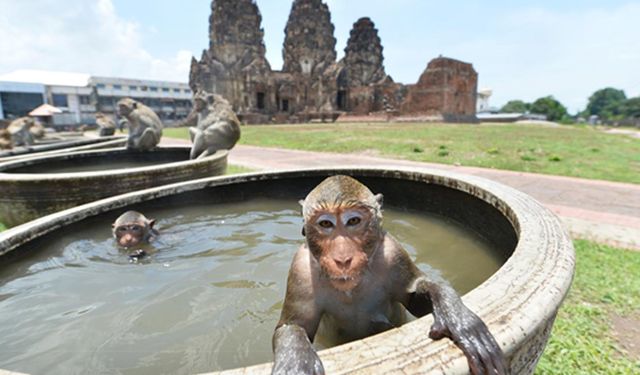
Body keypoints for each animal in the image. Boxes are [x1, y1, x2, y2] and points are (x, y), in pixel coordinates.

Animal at [272, 176, 508, 375]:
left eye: (353, 221)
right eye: (325, 224)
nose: (342, 258)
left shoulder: (394, 254)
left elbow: (416, 296)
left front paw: (455, 315)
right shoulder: (301, 269)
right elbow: (294, 325)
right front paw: (295, 360)